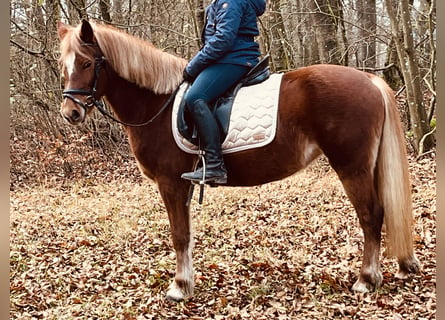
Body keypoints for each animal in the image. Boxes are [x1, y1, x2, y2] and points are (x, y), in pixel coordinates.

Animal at [56, 20, 420, 302]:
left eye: (87, 64)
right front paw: (187, 282)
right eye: (64, 66)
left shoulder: (170, 182)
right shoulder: (184, 185)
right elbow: (187, 233)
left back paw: (366, 279)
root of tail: (369, 80)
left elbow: (179, 235)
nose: (70, 112)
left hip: (352, 166)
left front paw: (179, 288)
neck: (157, 102)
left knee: (371, 215)